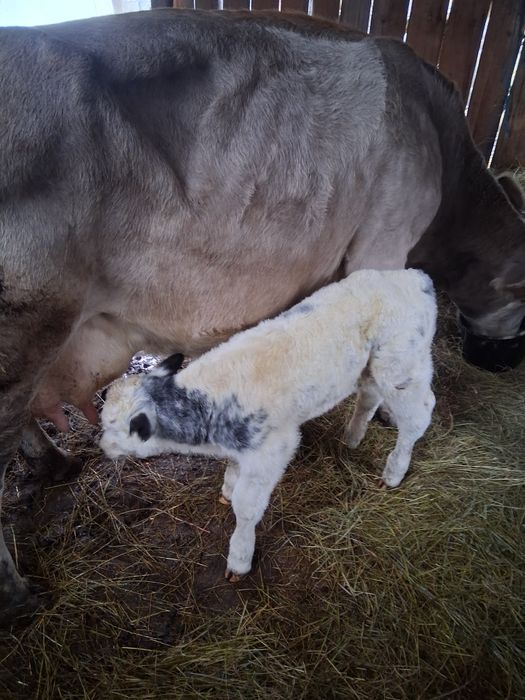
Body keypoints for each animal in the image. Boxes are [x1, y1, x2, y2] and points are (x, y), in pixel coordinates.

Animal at [1, 9, 524, 616]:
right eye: (524, 304)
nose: (505, 363)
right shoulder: (384, 243)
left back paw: (56, 463)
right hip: (25, 327)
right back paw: (15, 594)